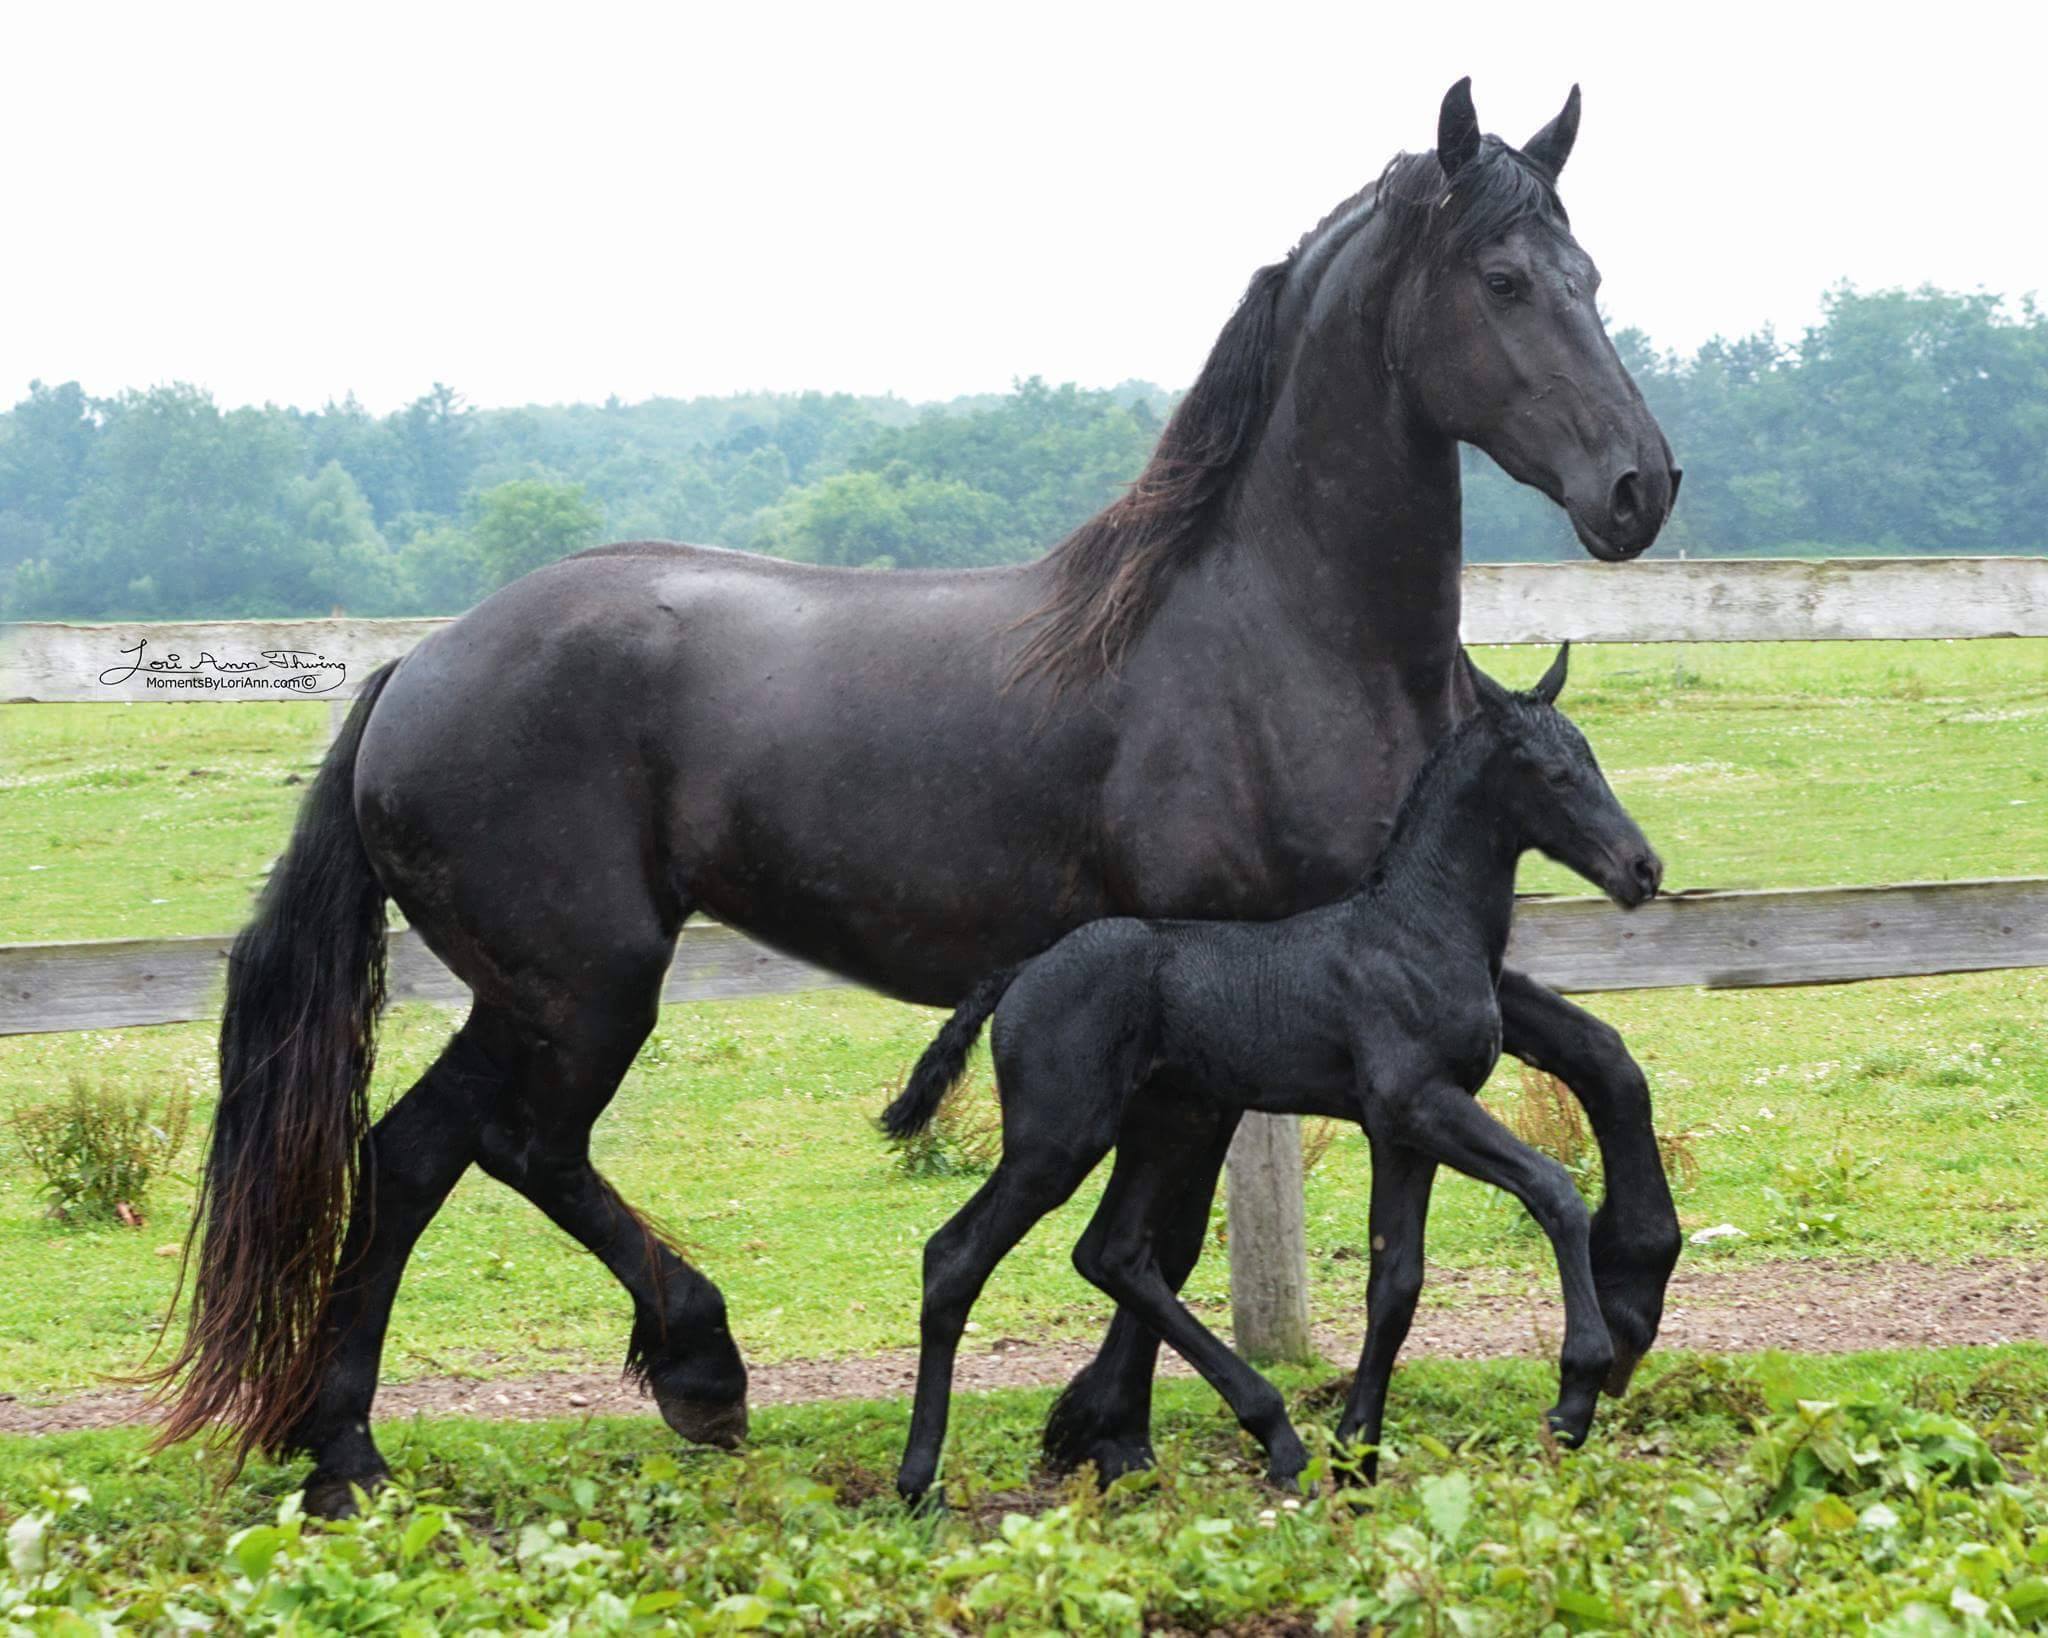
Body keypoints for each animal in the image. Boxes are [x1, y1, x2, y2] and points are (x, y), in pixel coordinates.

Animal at [880, 642, 1662, 1506]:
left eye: (1592, 759)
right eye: (1554, 774)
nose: (1643, 868)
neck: (1416, 931)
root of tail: (1021, 972)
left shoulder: (1405, 1133)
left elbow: (1396, 1285)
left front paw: (1356, 1456)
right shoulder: (1420, 1105)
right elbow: (1555, 1190)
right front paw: (1576, 1393)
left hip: (1167, 1125)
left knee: (1114, 1254)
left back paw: (1277, 1436)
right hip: (1056, 1141)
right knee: (955, 1260)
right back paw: (918, 1481)